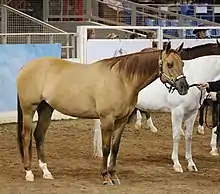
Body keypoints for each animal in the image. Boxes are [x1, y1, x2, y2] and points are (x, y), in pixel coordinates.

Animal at [16, 41, 188, 185]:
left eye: (183, 63)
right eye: (170, 64)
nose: (184, 87)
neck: (122, 79)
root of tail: (26, 66)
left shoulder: (121, 120)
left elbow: (115, 148)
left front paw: (114, 176)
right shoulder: (107, 119)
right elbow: (106, 148)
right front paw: (105, 177)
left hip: (46, 109)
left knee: (39, 136)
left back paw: (46, 172)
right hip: (29, 109)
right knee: (26, 137)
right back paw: (29, 173)